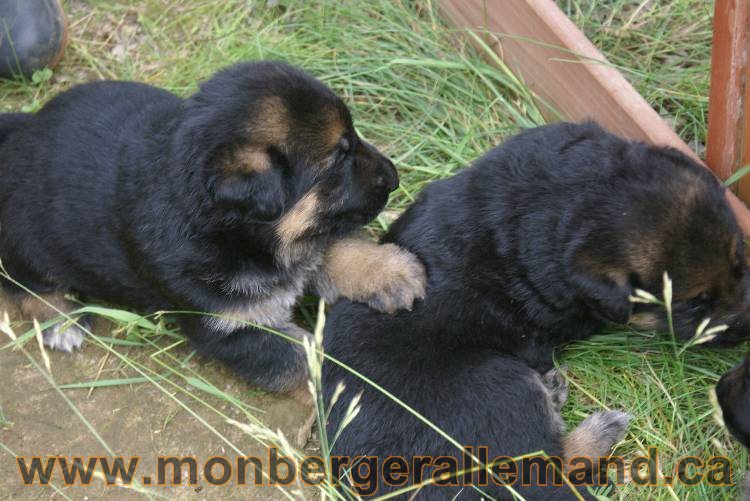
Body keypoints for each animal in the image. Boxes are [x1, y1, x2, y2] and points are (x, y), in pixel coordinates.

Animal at [0, 60, 426, 394]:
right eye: (338, 158)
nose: (394, 178)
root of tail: (21, 134)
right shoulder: (230, 330)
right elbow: (306, 357)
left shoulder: (309, 239)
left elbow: (335, 244)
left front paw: (390, 272)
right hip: (28, 244)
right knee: (22, 285)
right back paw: (62, 321)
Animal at [324, 122, 750, 500]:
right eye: (694, 303)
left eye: (739, 261)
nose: (746, 328)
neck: (585, 192)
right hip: (503, 388)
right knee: (543, 465)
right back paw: (595, 425)